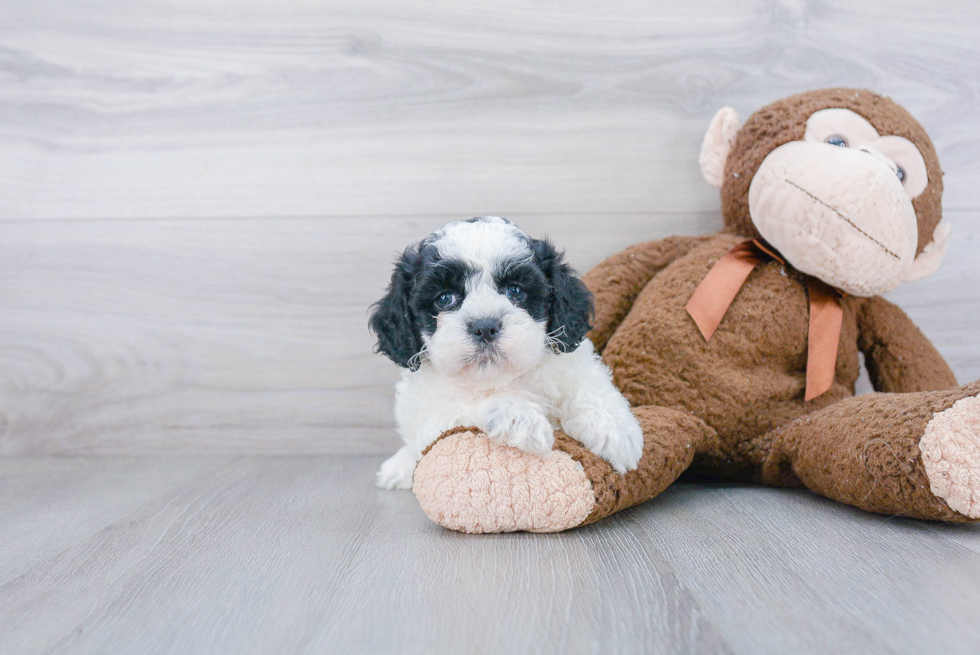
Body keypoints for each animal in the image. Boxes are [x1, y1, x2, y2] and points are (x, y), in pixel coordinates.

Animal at [368, 218, 644, 490]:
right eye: (445, 298)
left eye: (515, 291)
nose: (484, 326)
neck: (503, 376)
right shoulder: (432, 420)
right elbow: (467, 405)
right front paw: (520, 418)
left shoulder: (573, 362)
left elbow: (589, 386)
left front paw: (614, 431)